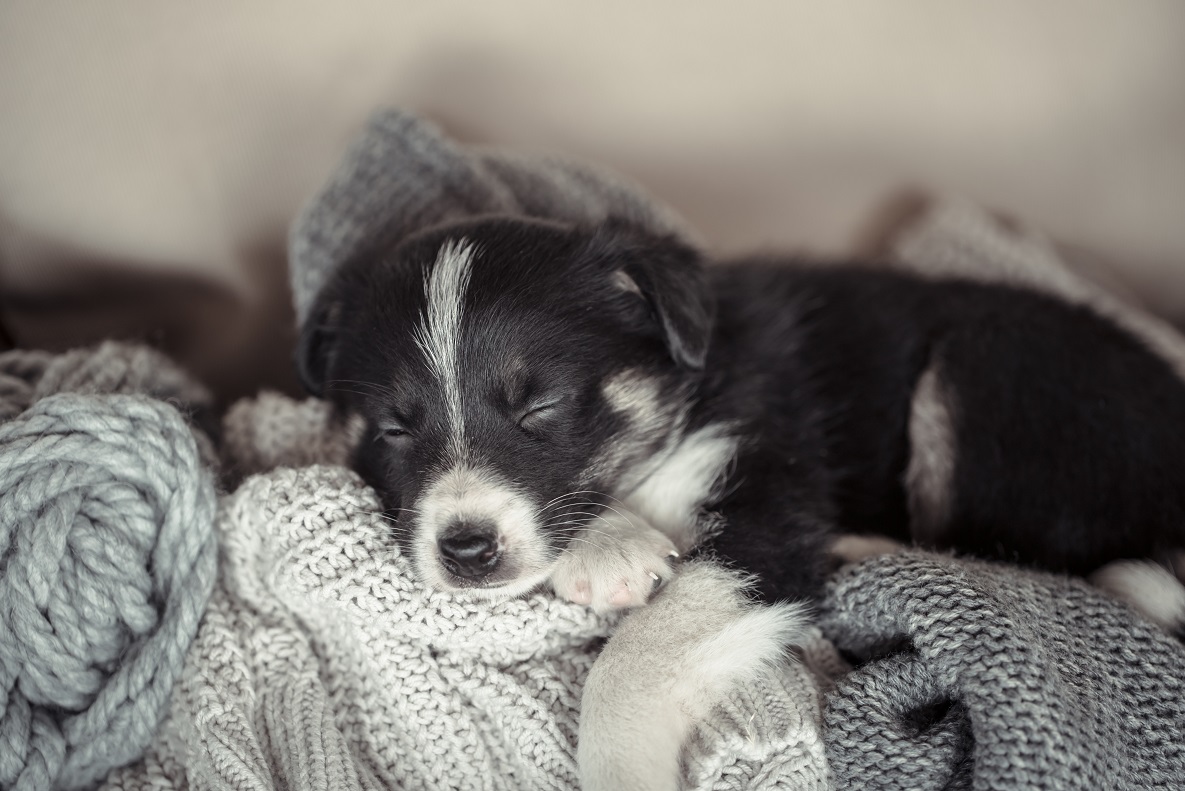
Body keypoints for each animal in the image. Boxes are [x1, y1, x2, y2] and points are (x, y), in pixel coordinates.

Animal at [298, 213, 1185, 625]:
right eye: (393, 427)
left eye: (539, 405)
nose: (465, 548)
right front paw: (610, 541)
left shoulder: (760, 461)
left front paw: (609, 551)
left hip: (986, 376)